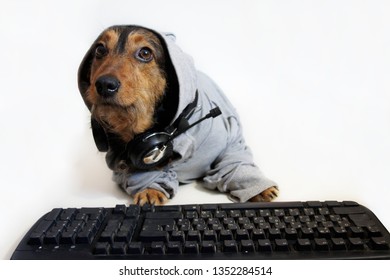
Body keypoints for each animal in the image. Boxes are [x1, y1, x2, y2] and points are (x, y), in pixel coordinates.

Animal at [77, 25, 278, 206]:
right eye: (100, 49)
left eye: (145, 53)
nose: (104, 84)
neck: (175, 131)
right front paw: (150, 189)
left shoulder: (231, 138)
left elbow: (235, 162)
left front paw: (258, 187)